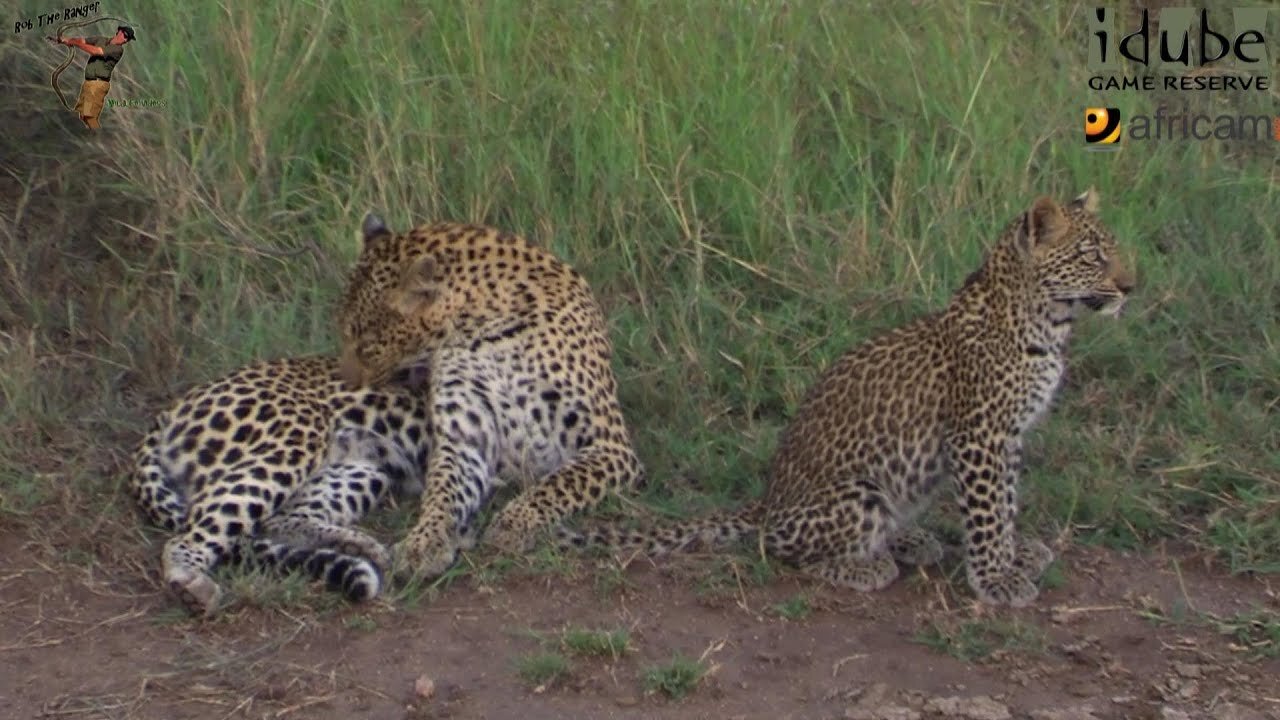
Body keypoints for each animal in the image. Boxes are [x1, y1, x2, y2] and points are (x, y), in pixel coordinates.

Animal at [128, 353, 435, 609]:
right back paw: (192, 585)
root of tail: (176, 405)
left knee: (276, 521)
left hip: (365, 468)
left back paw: (355, 546)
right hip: (296, 437)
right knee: (190, 534)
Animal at [335, 211, 645, 576]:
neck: (483, 329)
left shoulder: (609, 446)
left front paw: (514, 523)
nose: (346, 380)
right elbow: (443, 492)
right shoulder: (465, 436)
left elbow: (558, 483)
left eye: (367, 345)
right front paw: (423, 542)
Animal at [555, 189, 1136, 604]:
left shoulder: (1009, 437)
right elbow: (989, 511)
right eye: (1092, 256)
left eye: (1113, 252)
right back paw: (869, 564)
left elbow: (1007, 502)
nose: (1131, 286)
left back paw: (912, 541)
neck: (1047, 324)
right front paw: (997, 579)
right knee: (786, 549)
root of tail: (767, 502)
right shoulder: (980, 435)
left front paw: (1015, 557)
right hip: (858, 494)